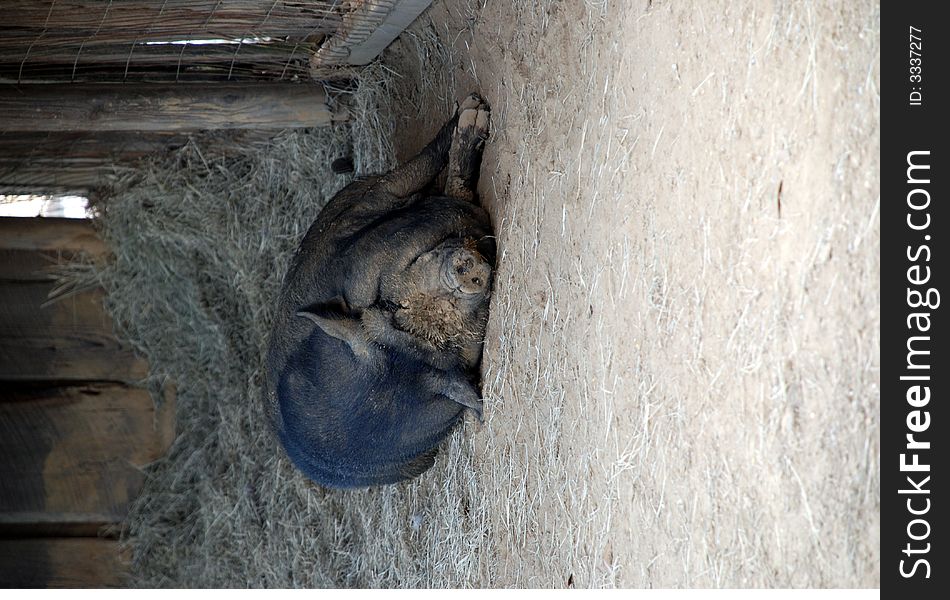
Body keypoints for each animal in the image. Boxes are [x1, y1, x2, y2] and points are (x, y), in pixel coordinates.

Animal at [264, 95, 494, 488]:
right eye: (396, 307)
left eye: (452, 338)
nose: (464, 277)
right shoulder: (372, 206)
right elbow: (436, 181)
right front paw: (472, 110)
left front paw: (472, 111)